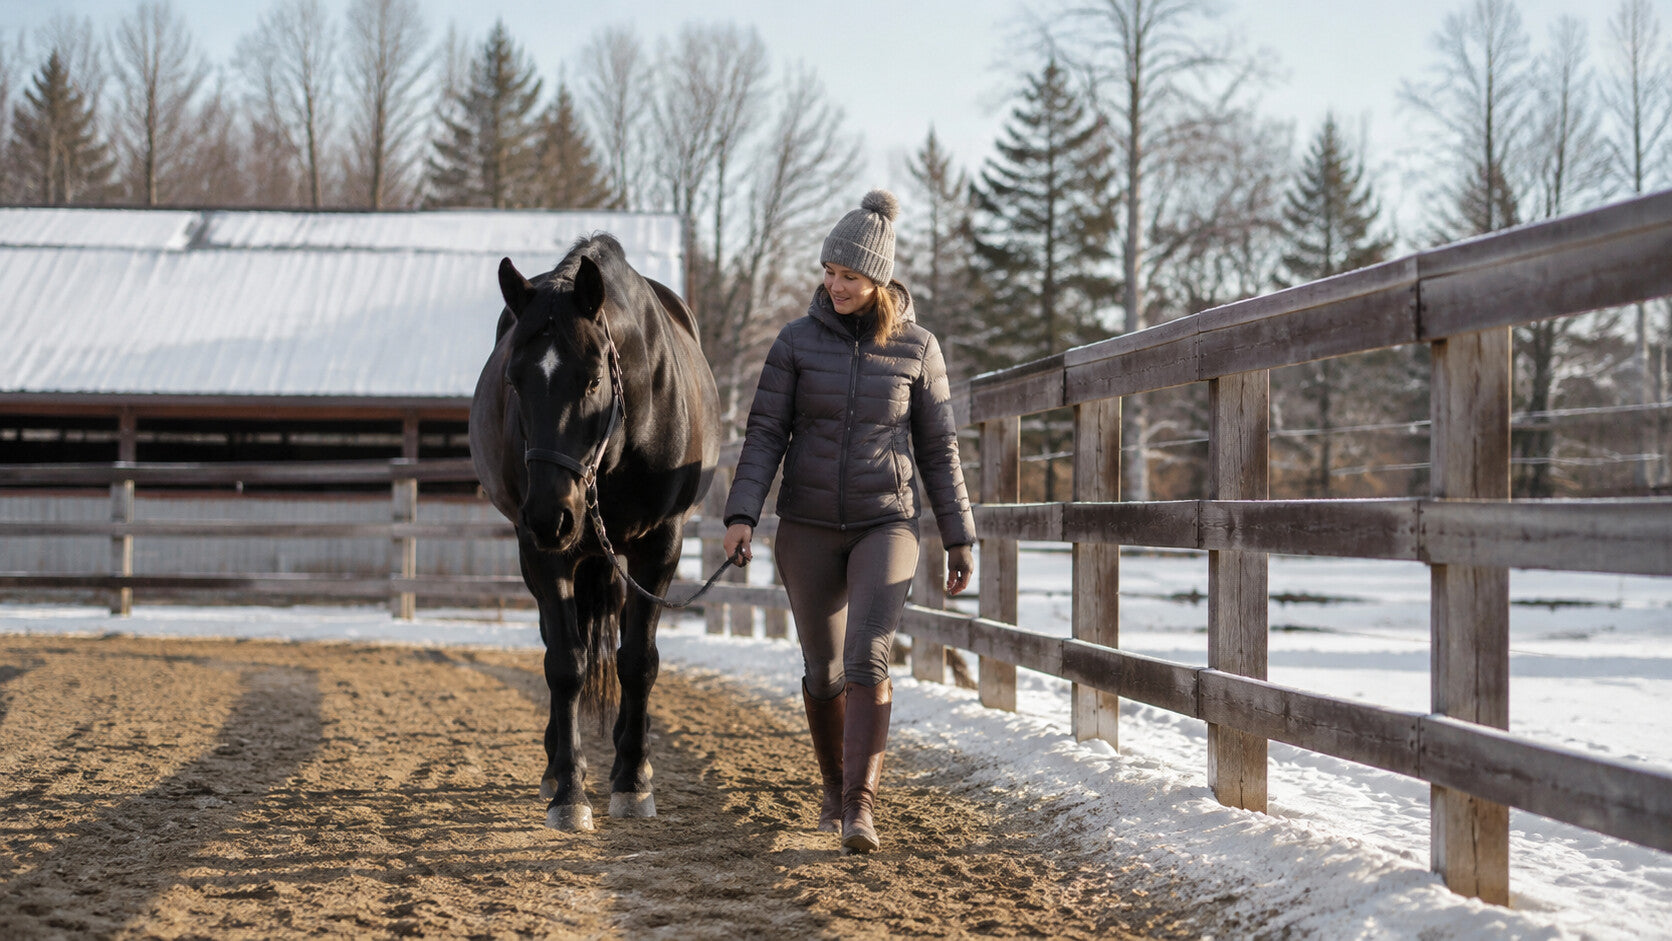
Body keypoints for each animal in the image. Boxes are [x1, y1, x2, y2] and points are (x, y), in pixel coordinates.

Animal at [469, 235, 720, 831]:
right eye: (514, 381)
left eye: (593, 379)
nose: (550, 515)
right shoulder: (541, 552)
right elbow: (565, 663)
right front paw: (568, 790)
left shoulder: (661, 545)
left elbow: (638, 661)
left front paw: (632, 781)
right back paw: (557, 763)